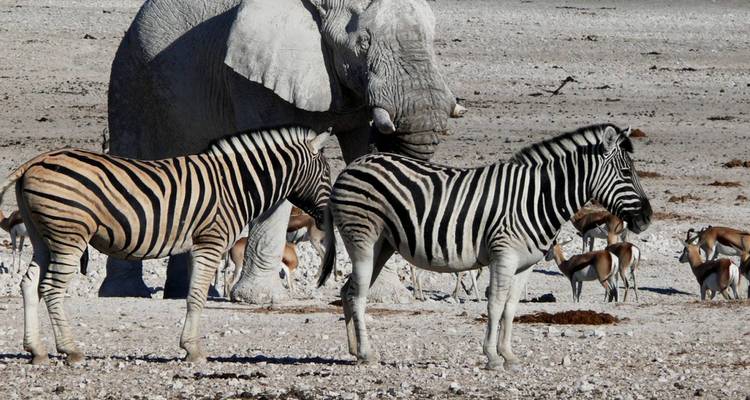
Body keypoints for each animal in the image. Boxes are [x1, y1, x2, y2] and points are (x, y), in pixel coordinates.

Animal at [0, 125, 335, 365]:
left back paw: (36, 351)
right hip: (68, 236)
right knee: (51, 289)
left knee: (29, 284)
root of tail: (35, 161)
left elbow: (193, 293)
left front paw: (188, 346)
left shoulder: (195, 245)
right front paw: (194, 351)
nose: (326, 218)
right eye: (327, 173)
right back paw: (70, 351)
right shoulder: (211, 241)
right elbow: (197, 296)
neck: (236, 185)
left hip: (43, 237)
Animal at [318, 124, 652, 370]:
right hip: (363, 239)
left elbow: (511, 307)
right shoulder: (503, 255)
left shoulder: (524, 264)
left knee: (348, 290)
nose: (648, 217)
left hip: (382, 246)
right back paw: (367, 354)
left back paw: (354, 351)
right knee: (358, 295)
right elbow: (494, 304)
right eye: (626, 173)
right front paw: (491, 356)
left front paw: (509, 355)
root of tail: (352, 166)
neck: (537, 198)